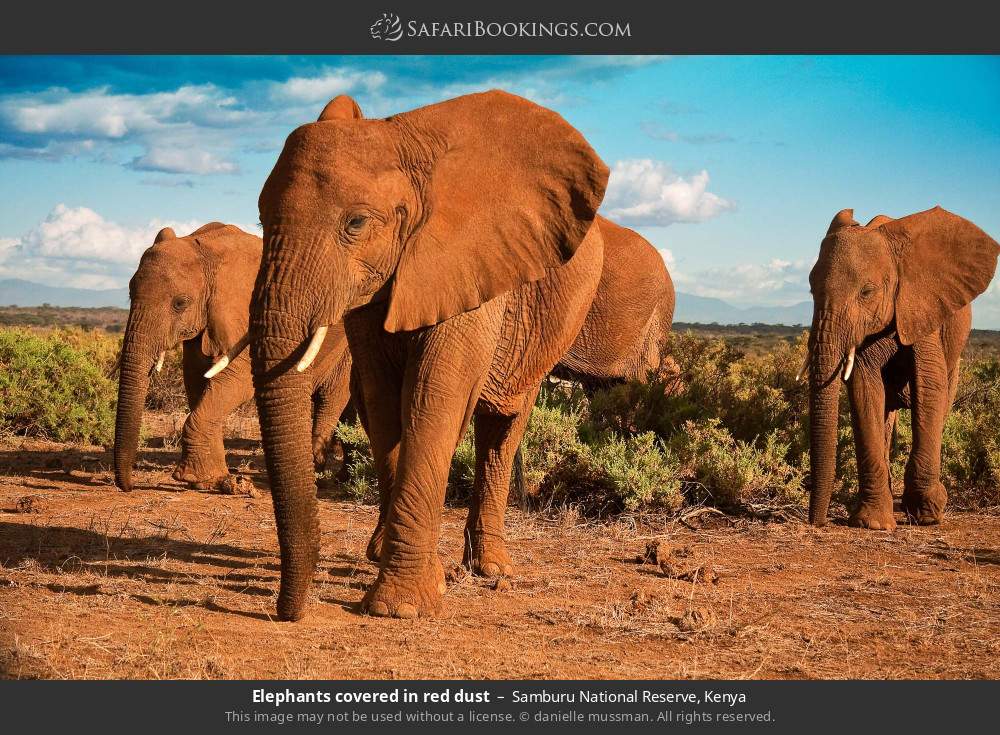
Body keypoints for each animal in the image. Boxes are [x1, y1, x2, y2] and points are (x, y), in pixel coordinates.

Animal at [112, 221, 354, 492]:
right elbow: (196, 380)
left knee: (331, 397)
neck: (207, 250)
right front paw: (211, 480)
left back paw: (319, 477)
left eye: (180, 303)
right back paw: (342, 477)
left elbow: (237, 381)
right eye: (130, 294)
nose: (128, 486)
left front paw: (194, 478)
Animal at [250, 90, 608, 620]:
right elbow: (382, 403)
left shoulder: (469, 267)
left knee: (502, 425)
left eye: (356, 223)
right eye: (260, 218)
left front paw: (399, 607)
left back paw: (490, 568)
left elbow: (434, 398)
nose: (286, 612)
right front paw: (405, 575)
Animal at [804, 207, 1000, 528]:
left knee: (943, 395)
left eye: (867, 292)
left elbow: (930, 383)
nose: (816, 522)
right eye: (811, 289)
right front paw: (871, 523)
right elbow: (864, 387)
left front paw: (928, 513)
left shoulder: (921, 305)